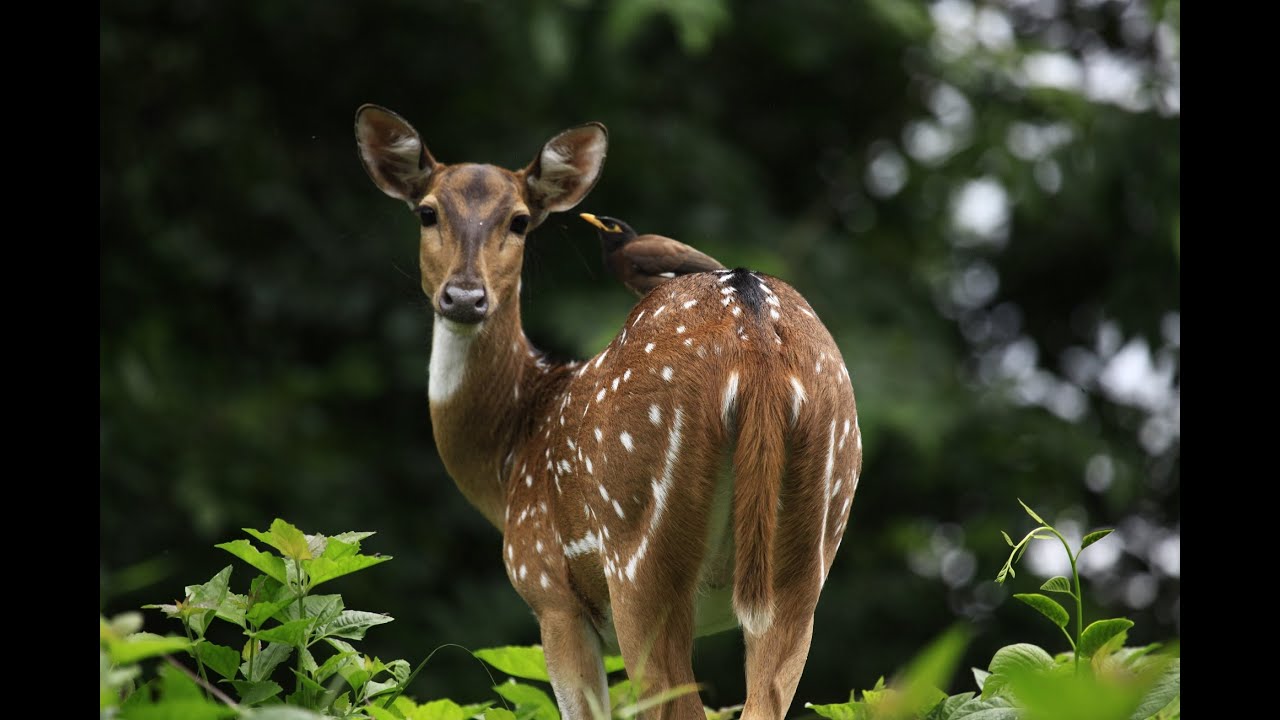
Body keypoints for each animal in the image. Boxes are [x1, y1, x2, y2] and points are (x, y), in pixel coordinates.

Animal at [355, 103, 865, 712]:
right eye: (427, 212)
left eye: (520, 221)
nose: (464, 297)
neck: (509, 457)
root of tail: (754, 336)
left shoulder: (548, 588)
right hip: (807, 555)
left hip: (637, 554)